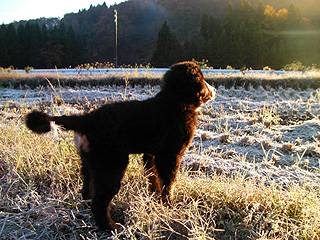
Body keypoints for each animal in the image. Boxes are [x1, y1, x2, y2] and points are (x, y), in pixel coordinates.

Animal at [25, 62, 215, 231]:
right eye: (203, 79)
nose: (214, 91)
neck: (175, 101)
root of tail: (87, 120)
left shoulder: (151, 154)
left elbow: (153, 178)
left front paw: (153, 197)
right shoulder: (170, 155)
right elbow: (169, 182)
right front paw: (168, 204)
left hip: (90, 163)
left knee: (87, 191)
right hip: (111, 165)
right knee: (99, 203)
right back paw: (111, 227)